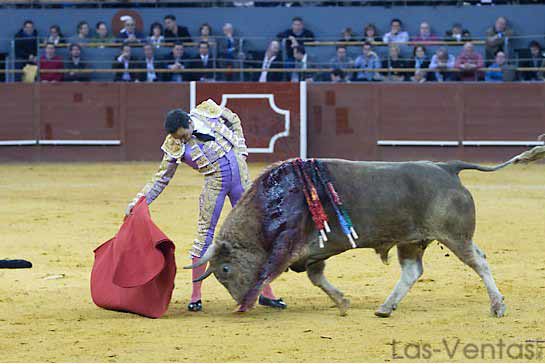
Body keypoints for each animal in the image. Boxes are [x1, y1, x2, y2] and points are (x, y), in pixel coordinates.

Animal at [185, 146, 540, 318]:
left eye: (226, 269)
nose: (240, 305)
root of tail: (447, 167)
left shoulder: (290, 246)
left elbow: (274, 272)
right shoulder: (315, 252)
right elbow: (316, 277)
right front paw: (342, 302)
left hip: (455, 236)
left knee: (479, 261)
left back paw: (498, 306)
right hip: (412, 240)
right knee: (412, 271)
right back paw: (385, 307)